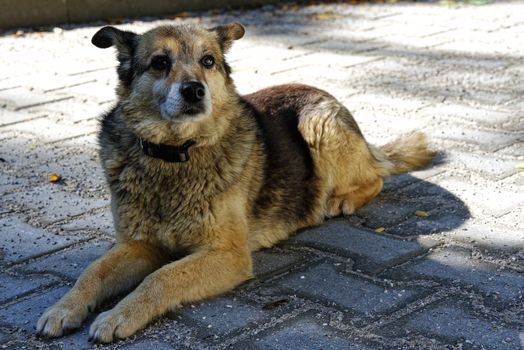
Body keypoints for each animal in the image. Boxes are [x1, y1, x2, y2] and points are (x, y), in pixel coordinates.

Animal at [34, 21, 432, 342]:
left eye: (208, 61)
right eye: (159, 62)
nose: (194, 90)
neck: (175, 154)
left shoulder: (227, 253)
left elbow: (162, 277)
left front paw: (119, 315)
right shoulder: (137, 245)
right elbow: (92, 273)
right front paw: (63, 308)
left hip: (318, 124)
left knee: (375, 177)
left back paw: (341, 199)